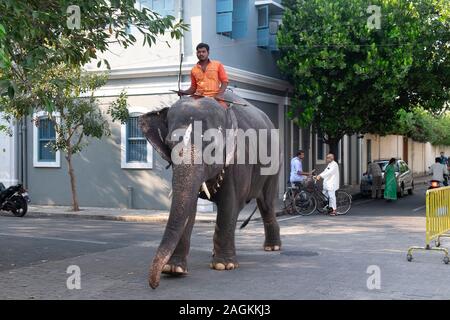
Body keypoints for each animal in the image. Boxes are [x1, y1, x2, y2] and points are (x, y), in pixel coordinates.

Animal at [139, 91, 284, 288]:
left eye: (212, 146)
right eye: (169, 144)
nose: (154, 285)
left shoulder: (238, 160)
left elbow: (230, 205)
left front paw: (224, 266)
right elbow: (189, 208)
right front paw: (173, 269)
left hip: (274, 165)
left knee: (266, 204)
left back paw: (272, 247)